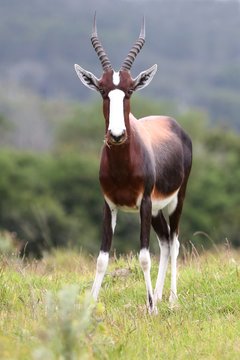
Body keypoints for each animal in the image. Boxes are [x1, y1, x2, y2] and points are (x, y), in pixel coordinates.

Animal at [74, 14, 192, 312]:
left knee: (174, 242)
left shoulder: (145, 203)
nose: (117, 135)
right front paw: (91, 304)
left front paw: (150, 308)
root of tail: (174, 124)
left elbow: (143, 256)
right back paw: (159, 295)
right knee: (165, 242)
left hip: (175, 201)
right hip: (156, 211)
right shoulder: (109, 205)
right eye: (102, 90)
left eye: (129, 91)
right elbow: (102, 258)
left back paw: (170, 299)